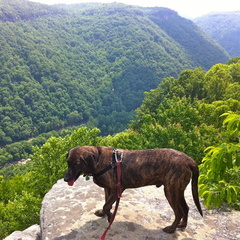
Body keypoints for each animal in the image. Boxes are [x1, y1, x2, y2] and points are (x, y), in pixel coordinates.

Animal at [63, 145, 202, 233]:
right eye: (68, 163)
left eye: (76, 163)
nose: (65, 179)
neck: (98, 159)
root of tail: (188, 159)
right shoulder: (108, 189)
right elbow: (106, 204)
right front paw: (104, 214)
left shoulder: (116, 190)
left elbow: (106, 205)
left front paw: (110, 217)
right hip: (178, 191)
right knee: (186, 208)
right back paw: (182, 225)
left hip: (170, 191)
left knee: (178, 212)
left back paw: (172, 229)